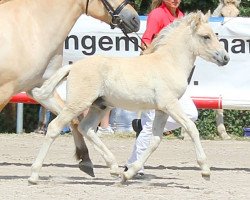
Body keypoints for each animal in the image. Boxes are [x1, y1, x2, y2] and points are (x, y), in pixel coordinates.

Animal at [0, 0, 140, 178]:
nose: (135, 20)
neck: (32, 27)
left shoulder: (39, 88)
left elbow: (72, 120)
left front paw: (86, 159)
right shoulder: (5, 91)